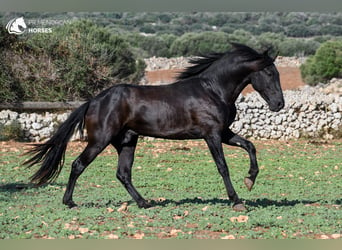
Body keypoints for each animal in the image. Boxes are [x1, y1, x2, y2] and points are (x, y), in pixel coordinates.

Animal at [25, 42, 284, 211]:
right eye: (269, 72)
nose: (279, 104)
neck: (213, 90)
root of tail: (94, 101)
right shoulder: (211, 135)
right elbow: (223, 167)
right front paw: (237, 201)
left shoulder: (224, 133)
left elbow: (250, 146)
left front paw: (250, 180)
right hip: (100, 140)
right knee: (78, 165)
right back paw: (69, 202)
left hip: (127, 141)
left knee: (123, 173)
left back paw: (144, 203)